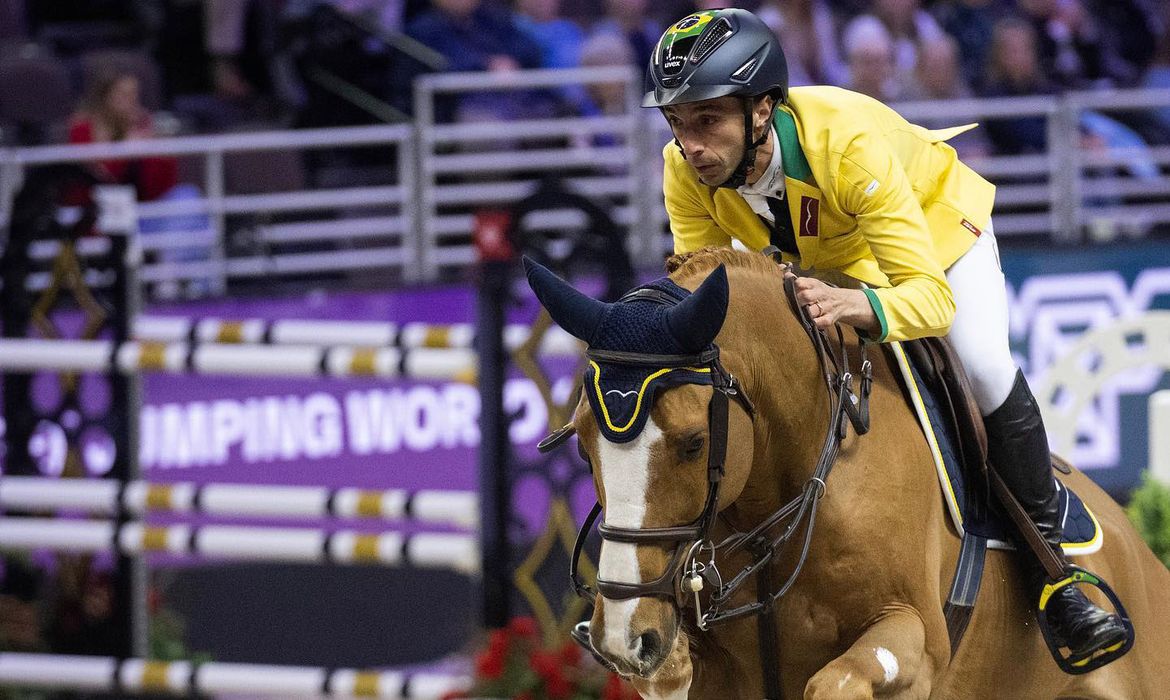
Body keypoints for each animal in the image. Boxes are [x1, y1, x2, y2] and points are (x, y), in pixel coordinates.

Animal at [528, 249, 1170, 697]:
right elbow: (674, 677)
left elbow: (835, 680)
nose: (624, 634)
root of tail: (1137, 544)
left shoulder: (914, 639)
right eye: (582, 445)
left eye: (693, 443)